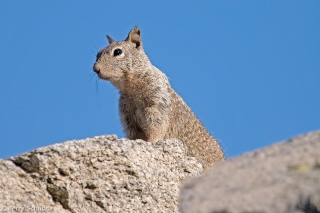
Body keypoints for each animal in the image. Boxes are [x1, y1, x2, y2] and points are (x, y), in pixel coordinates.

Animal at [92, 26, 225, 170]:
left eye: (117, 52)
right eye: (98, 54)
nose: (95, 69)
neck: (131, 88)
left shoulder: (157, 104)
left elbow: (157, 127)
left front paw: (151, 143)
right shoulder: (128, 116)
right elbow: (134, 134)